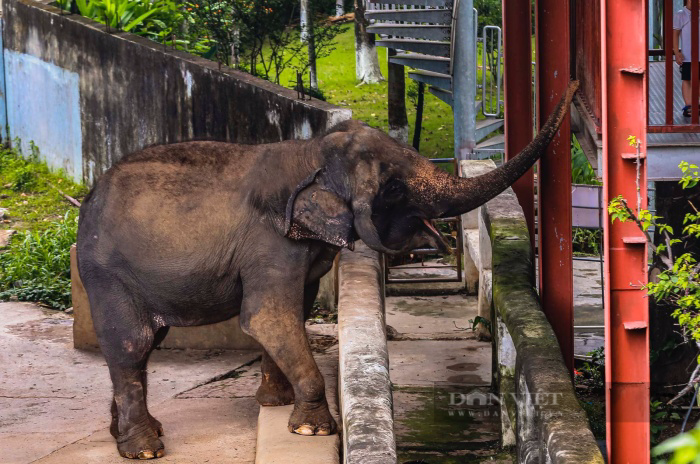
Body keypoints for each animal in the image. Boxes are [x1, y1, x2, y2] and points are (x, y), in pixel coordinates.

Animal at [78, 79, 580, 456]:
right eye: (393, 186)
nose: (574, 85)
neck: (310, 151)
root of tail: (88, 199)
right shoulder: (269, 245)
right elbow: (267, 317)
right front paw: (313, 429)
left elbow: (293, 311)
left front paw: (275, 403)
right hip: (106, 273)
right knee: (132, 343)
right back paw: (144, 448)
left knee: (144, 347)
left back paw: (128, 432)